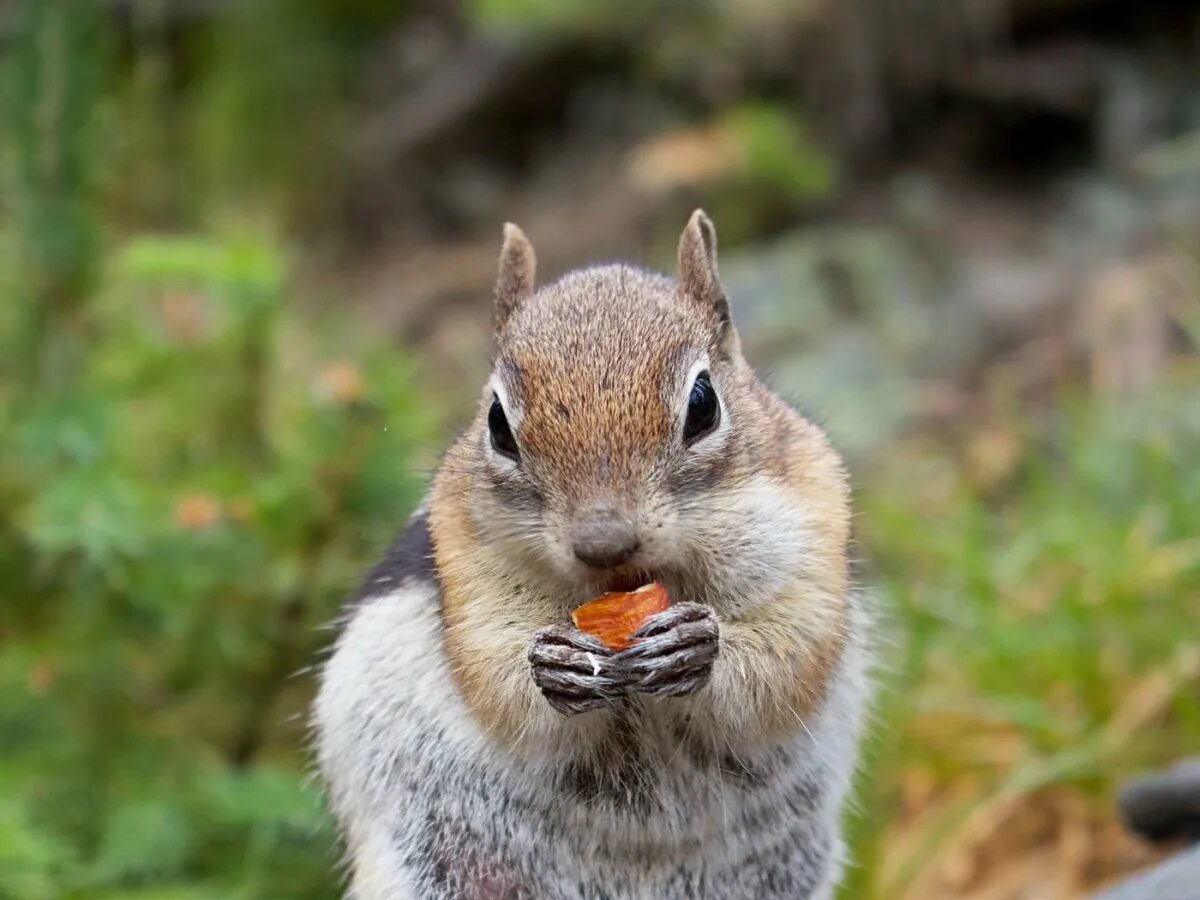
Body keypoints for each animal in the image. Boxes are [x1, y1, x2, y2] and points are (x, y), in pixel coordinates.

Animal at [314, 213, 868, 900]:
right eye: (497, 424)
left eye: (703, 404)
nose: (604, 541)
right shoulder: (468, 568)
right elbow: (494, 676)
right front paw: (555, 664)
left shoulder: (810, 531)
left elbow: (787, 654)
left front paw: (698, 644)